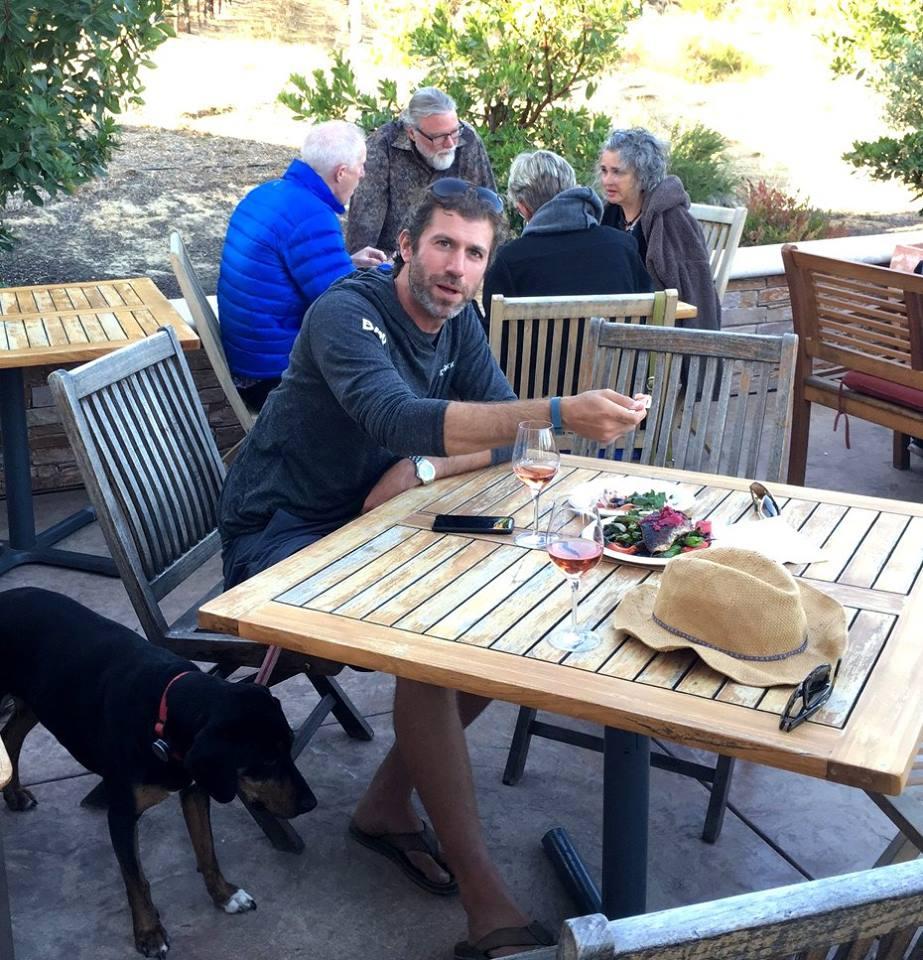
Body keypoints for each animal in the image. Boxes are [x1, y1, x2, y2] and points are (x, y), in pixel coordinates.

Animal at [0, 587, 316, 957]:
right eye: (265, 761)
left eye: (290, 744)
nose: (310, 803)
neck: (163, 714)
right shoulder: (121, 814)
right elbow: (137, 880)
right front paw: (149, 932)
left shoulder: (195, 787)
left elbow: (207, 849)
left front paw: (224, 895)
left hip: (36, 701)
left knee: (11, 735)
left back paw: (14, 794)